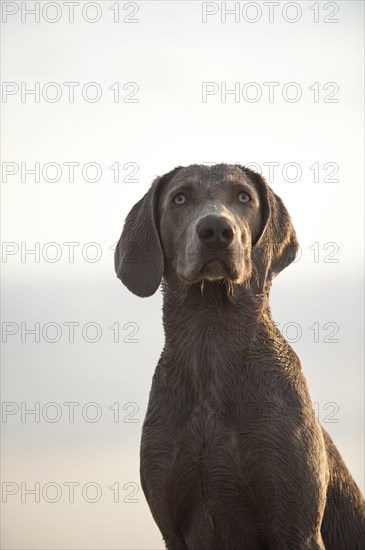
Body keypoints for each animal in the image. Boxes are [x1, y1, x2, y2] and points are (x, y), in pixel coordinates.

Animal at [114, 165, 364, 550]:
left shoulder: (297, 527)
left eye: (244, 197)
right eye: (179, 198)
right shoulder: (172, 527)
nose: (216, 230)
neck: (211, 341)